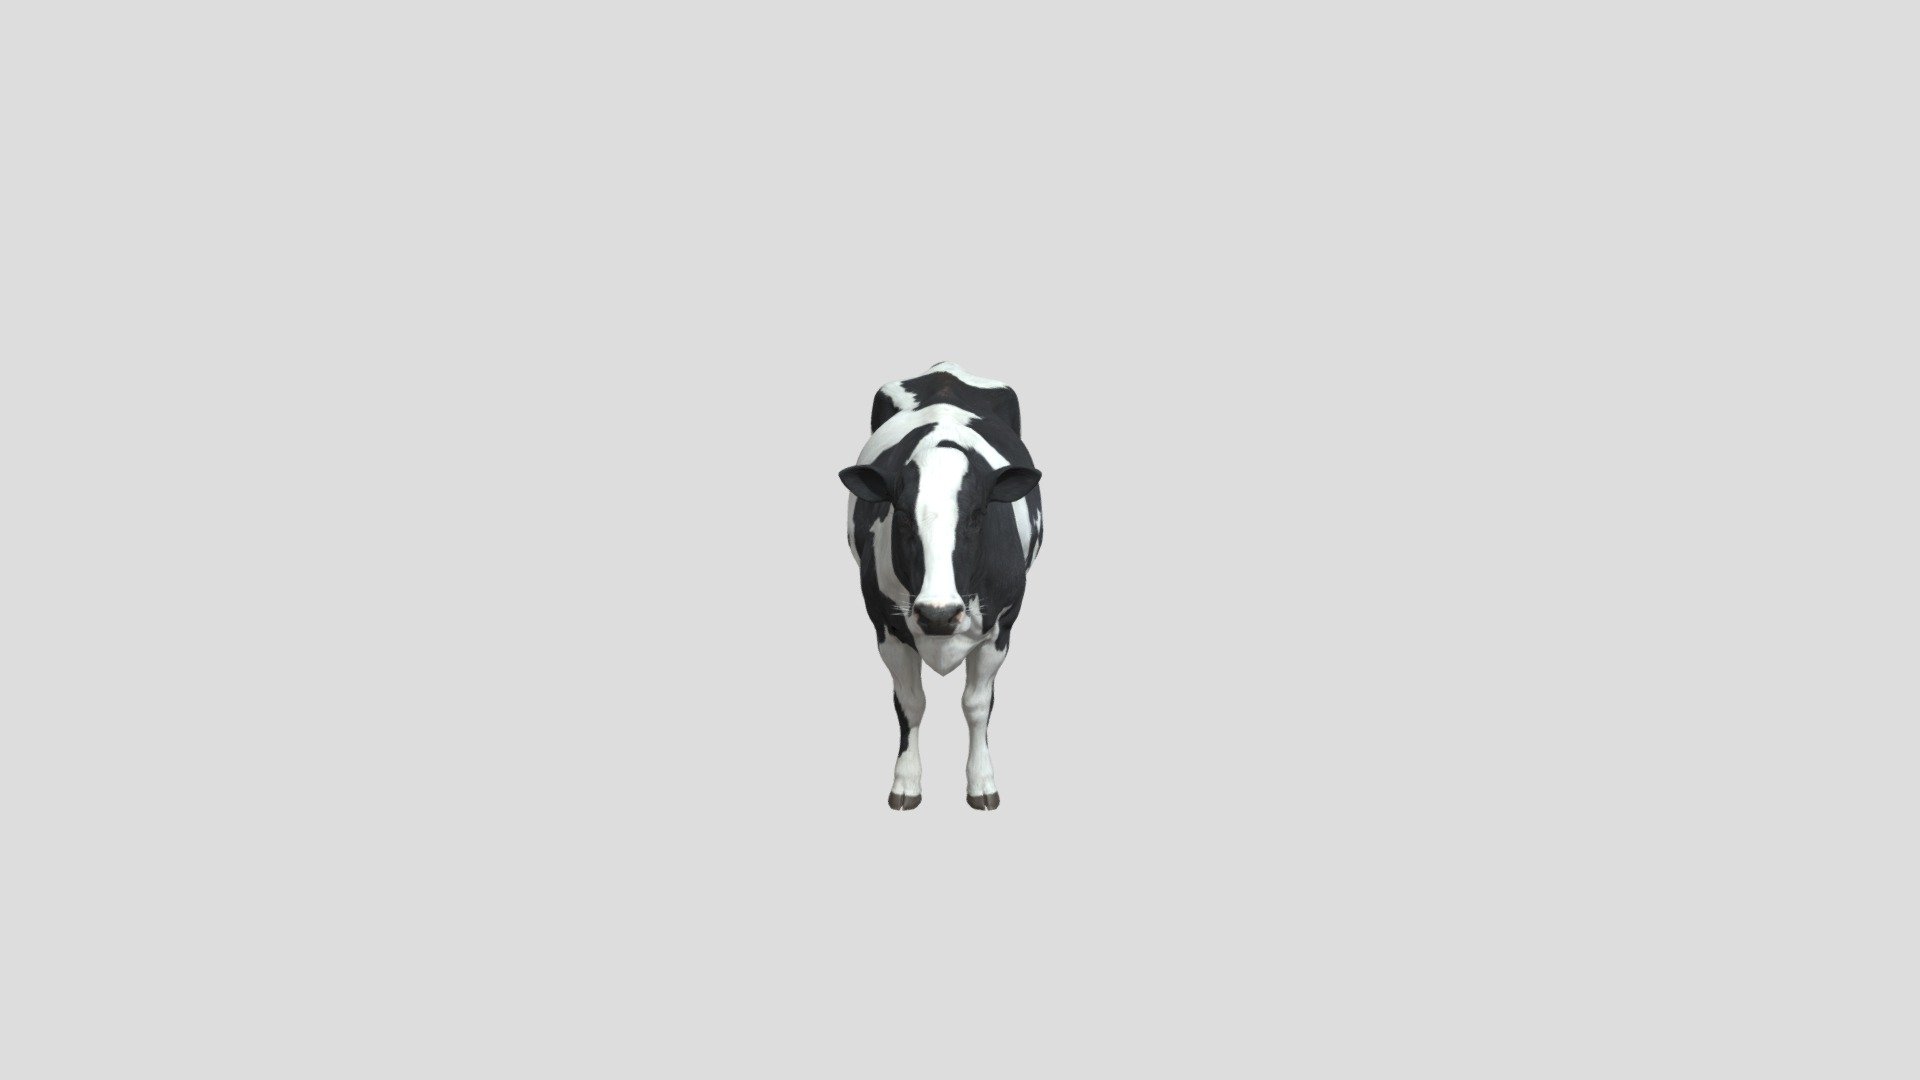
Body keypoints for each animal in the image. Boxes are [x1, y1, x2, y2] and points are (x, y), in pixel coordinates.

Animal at [840, 363, 1044, 811]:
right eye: (901, 515)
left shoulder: (1002, 627)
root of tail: (945, 370)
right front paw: (906, 782)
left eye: (978, 515)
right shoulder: (885, 627)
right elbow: (910, 703)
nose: (938, 614)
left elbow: (977, 705)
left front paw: (982, 782)